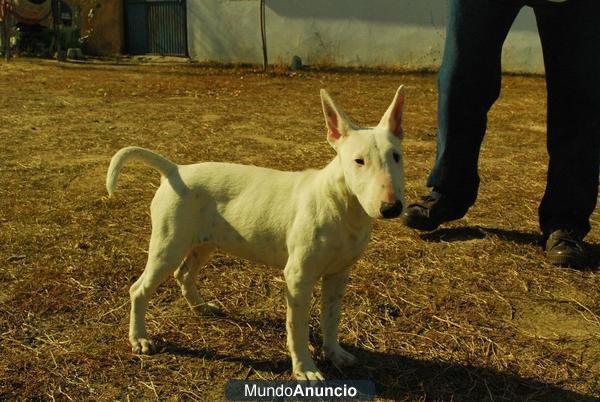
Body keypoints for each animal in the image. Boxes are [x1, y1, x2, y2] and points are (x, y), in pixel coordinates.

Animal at [106, 85, 408, 380]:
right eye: (359, 161)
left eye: (396, 156)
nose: (392, 207)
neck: (343, 204)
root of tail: (174, 170)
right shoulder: (297, 277)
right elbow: (297, 327)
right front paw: (305, 369)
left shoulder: (338, 274)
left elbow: (331, 318)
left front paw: (335, 353)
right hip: (168, 246)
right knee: (139, 289)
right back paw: (140, 339)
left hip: (204, 243)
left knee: (184, 274)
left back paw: (201, 308)